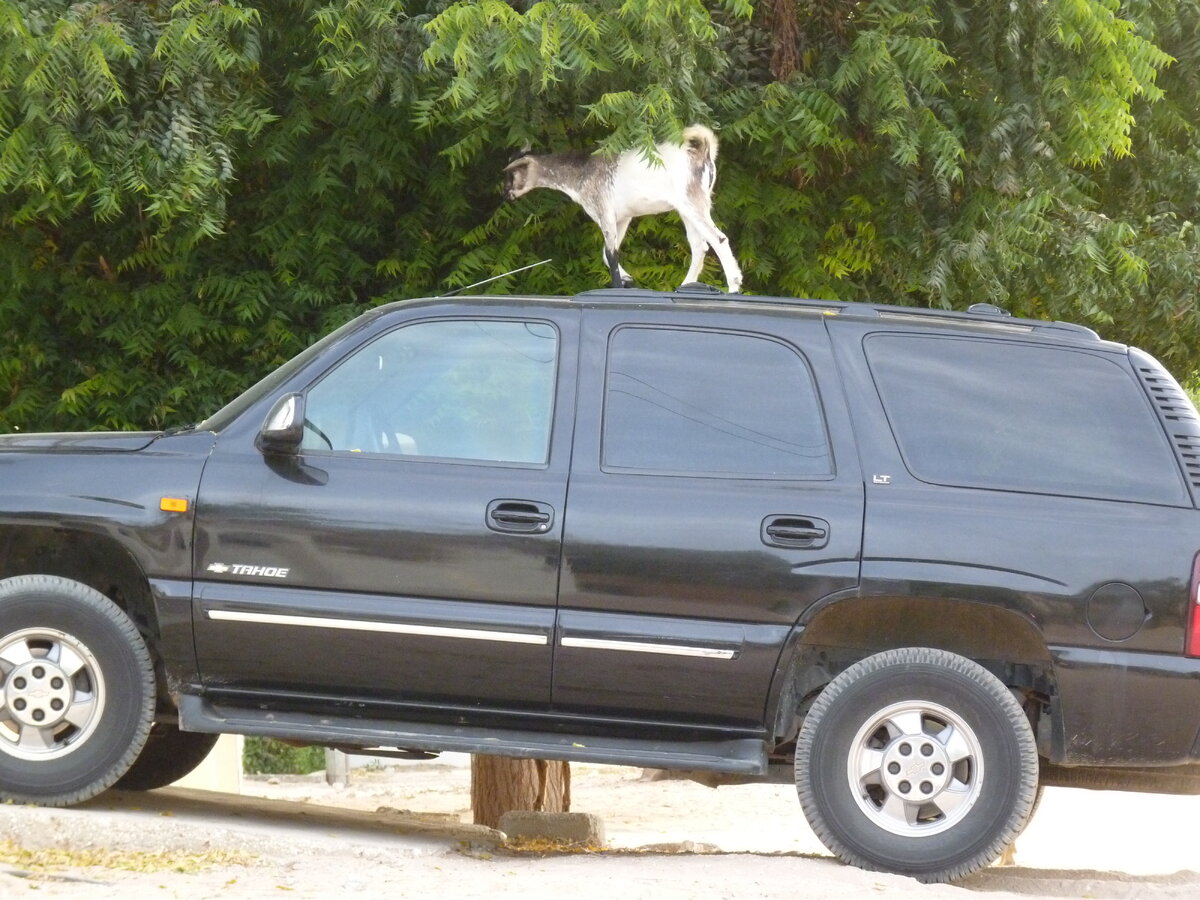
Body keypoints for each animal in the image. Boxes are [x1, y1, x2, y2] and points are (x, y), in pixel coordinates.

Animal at [499, 123, 739, 290]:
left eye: (513, 173)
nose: (506, 193)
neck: (582, 170)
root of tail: (703, 151)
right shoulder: (622, 218)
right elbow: (607, 254)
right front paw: (628, 279)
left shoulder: (603, 211)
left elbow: (611, 253)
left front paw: (617, 284)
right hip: (687, 209)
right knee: (700, 246)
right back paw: (686, 285)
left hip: (694, 202)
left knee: (718, 239)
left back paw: (734, 286)